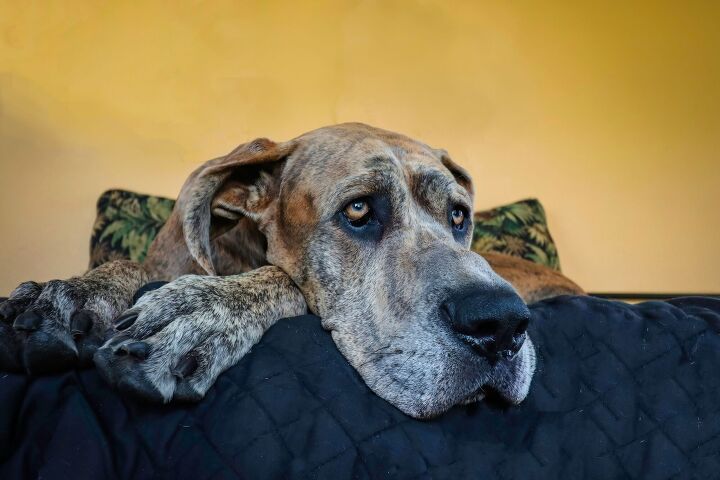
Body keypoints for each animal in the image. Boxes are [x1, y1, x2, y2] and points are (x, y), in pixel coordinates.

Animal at [0, 124, 584, 420]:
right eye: (358, 210)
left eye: (459, 216)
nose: (501, 324)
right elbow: (128, 263)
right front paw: (67, 295)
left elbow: (283, 277)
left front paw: (196, 312)